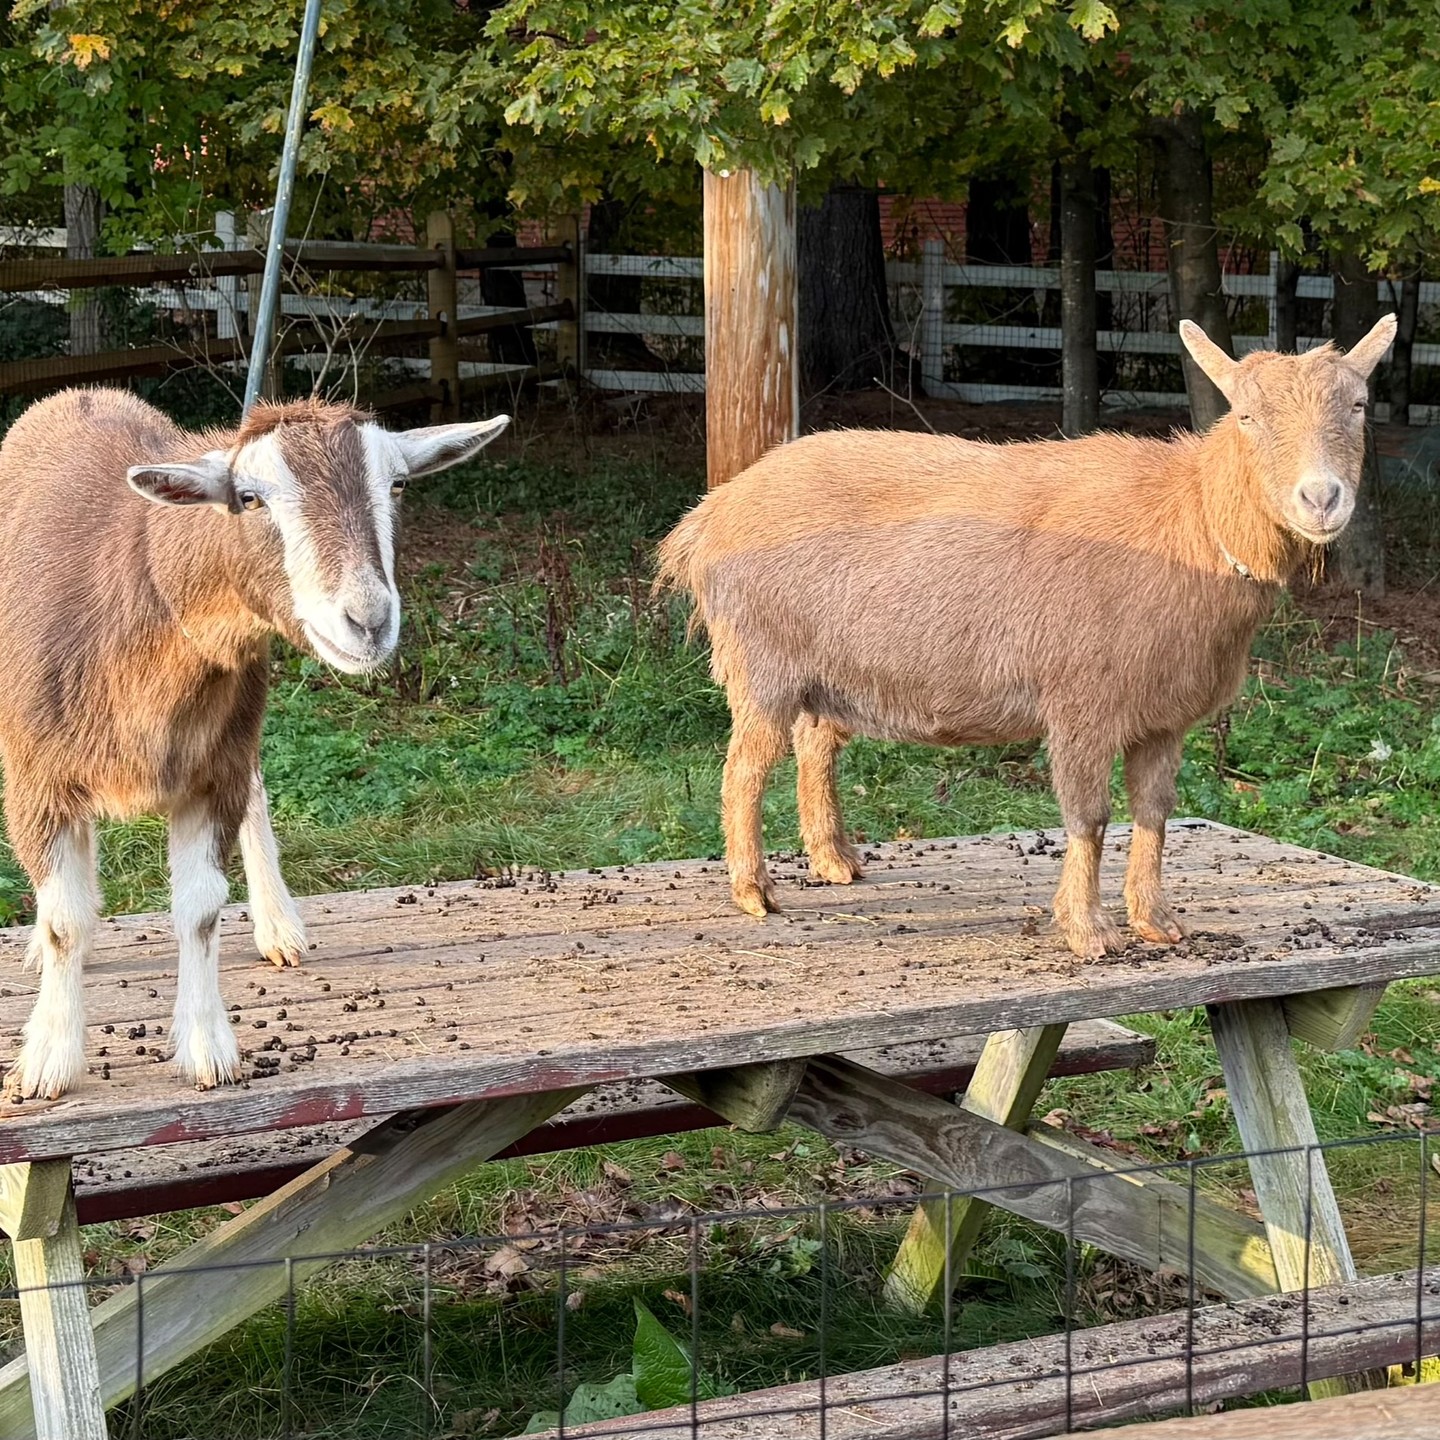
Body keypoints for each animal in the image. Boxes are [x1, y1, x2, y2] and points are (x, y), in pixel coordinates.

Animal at [0, 388, 509, 1098]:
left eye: (399, 484)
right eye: (249, 498)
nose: (368, 621)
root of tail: (79, 393)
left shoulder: (217, 770)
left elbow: (201, 909)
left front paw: (207, 1048)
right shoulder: (38, 776)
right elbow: (64, 919)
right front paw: (49, 1057)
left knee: (259, 790)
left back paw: (278, 923)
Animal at [657, 316, 1396, 958]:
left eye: (1359, 406)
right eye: (1246, 415)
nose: (1321, 498)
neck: (1187, 519)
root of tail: (709, 515)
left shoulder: (1163, 717)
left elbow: (1154, 812)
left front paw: (1156, 921)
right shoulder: (1081, 703)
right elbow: (1089, 817)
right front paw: (1087, 931)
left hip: (829, 670)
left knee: (815, 744)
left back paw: (835, 860)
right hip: (762, 662)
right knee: (744, 769)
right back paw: (753, 891)